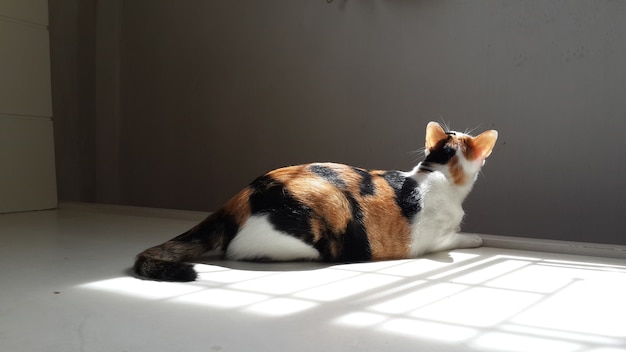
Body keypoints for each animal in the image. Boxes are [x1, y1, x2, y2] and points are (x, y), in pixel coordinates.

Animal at [134, 122, 494, 282]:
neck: (438, 172)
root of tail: (242, 196)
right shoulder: (434, 239)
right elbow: (460, 236)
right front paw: (478, 238)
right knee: (237, 250)